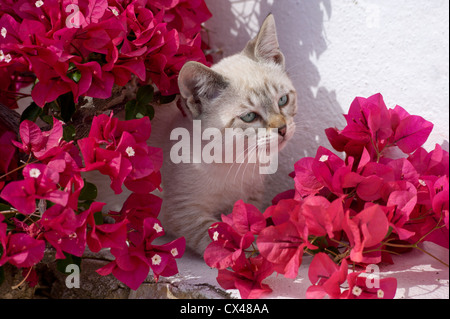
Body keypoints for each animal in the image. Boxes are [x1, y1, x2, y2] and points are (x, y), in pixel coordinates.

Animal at [148, 13, 298, 256]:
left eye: (283, 100)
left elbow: (251, 220)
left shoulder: (251, 198)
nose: (283, 128)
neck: (238, 159)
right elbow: (215, 233)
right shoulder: (181, 210)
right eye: (249, 117)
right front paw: (249, 251)